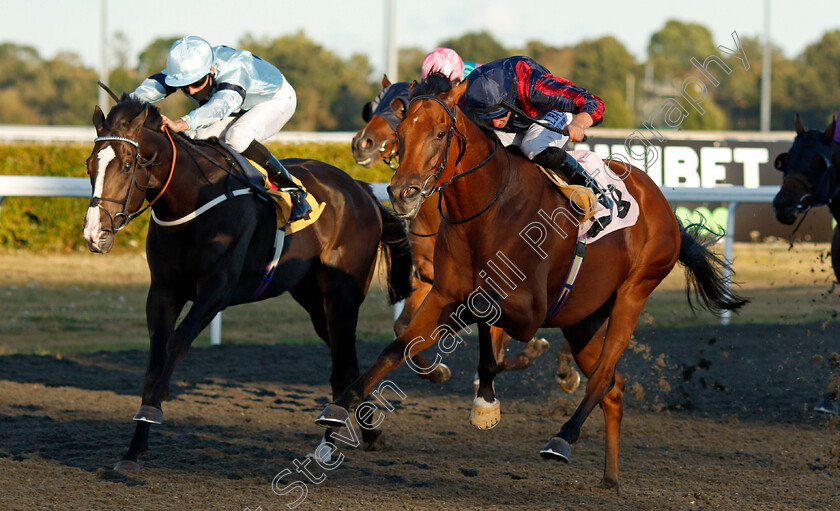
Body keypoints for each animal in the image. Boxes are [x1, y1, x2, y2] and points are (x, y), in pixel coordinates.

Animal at [84, 97, 414, 472]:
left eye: (127, 165)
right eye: (89, 166)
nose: (95, 234)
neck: (192, 200)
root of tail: (360, 189)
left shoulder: (216, 291)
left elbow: (177, 344)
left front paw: (152, 409)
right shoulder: (163, 292)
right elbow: (156, 357)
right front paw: (133, 449)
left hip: (342, 295)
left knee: (342, 366)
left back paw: (328, 446)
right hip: (313, 298)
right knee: (346, 365)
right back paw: (365, 433)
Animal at [352, 75, 576, 388]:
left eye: (439, 134)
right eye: (401, 127)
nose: (362, 144)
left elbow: (497, 342)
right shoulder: (430, 280)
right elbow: (402, 327)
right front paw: (436, 371)